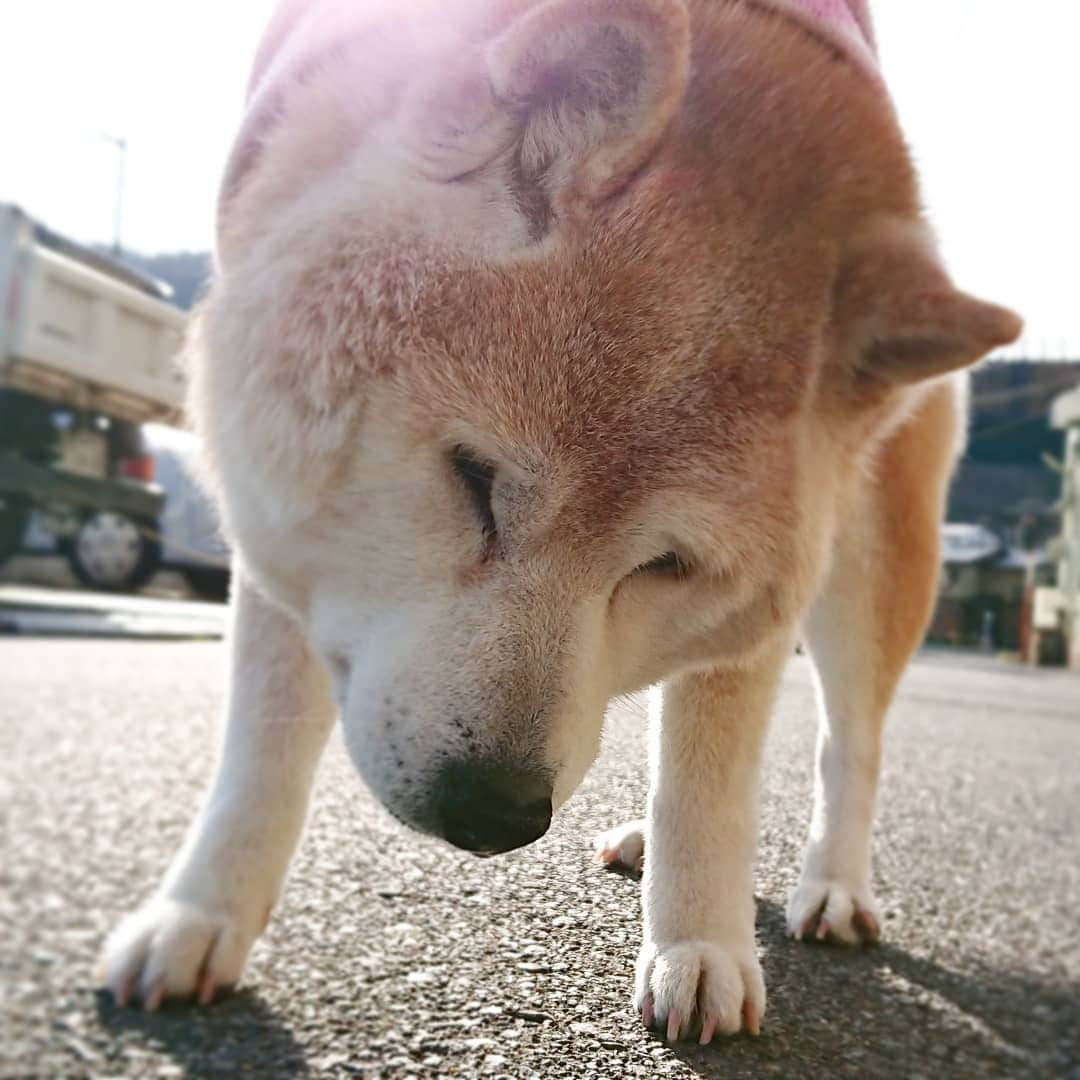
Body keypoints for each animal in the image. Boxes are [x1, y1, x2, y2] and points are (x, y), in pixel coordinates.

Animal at [101, 0, 1019, 1045]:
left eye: (667, 564)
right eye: (475, 480)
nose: (495, 813)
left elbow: (710, 784)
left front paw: (699, 944)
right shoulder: (286, 517)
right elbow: (262, 745)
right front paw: (201, 915)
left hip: (874, 561)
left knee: (847, 744)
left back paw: (831, 886)